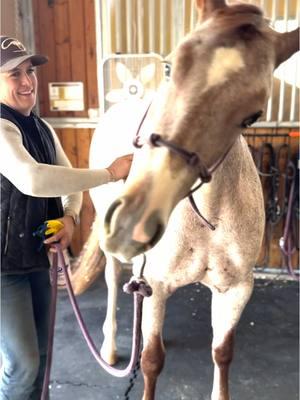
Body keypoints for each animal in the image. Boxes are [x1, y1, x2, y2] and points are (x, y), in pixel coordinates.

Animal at [85, 0, 300, 400]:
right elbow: (152, 361)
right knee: (111, 279)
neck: (208, 217)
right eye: (169, 67)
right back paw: (108, 346)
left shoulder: (236, 289)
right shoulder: (157, 284)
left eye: (252, 116)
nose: (134, 221)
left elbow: (222, 352)